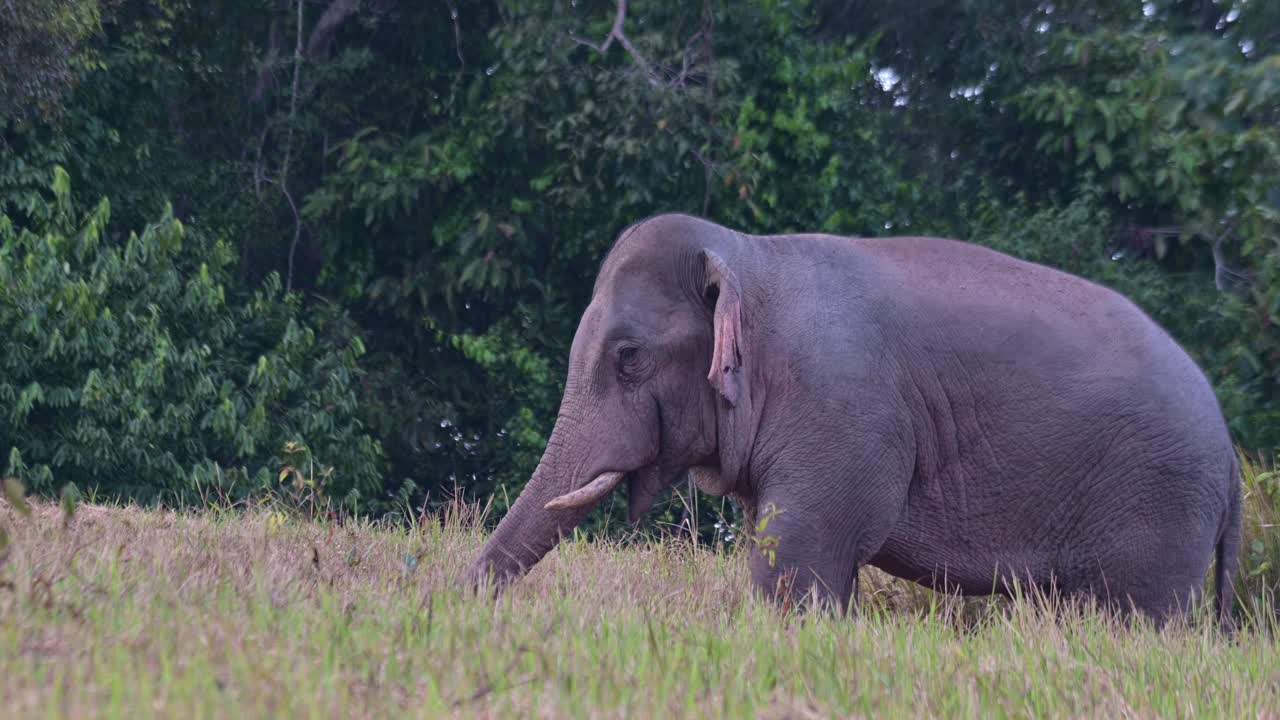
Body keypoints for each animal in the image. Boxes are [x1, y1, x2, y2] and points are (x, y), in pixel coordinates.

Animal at [463, 213, 1241, 628]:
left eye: (628, 359)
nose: (451, 606)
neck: (751, 254)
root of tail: (1232, 453)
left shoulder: (841, 410)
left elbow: (800, 551)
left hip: (1158, 504)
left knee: (1132, 617)